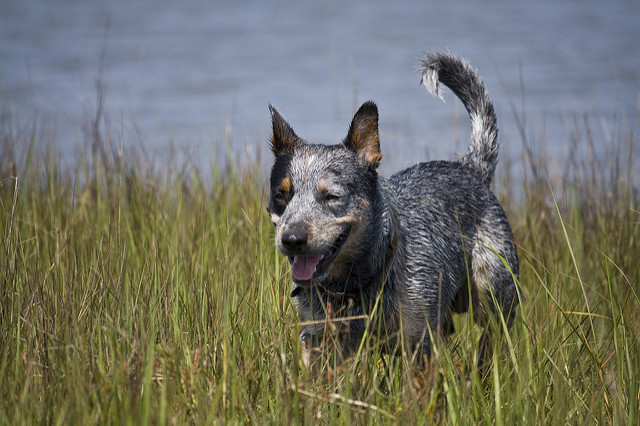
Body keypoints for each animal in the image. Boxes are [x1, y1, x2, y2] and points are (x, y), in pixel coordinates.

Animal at [266, 52, 520, 369]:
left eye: (331, 196)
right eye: (281, 194)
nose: (292, 240)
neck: (354, 285)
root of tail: (470, 168)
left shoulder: (419, 342)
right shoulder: (318, 340)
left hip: (493, 293)